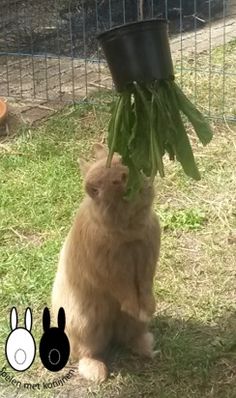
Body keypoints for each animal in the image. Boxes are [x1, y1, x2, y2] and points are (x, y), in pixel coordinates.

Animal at [51, 143, 161, 382]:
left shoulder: (147, 260)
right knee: (86, 352)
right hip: (85, 326)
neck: (127, 234)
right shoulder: (109, 270)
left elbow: (145, 285)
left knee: (130, 337)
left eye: (121, 160)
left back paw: (149, 347)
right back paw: (98, 374)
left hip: (127, 327)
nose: (126, 175)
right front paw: (135, 308)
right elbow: (123, 288)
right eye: (114, 183)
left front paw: (148, 309)